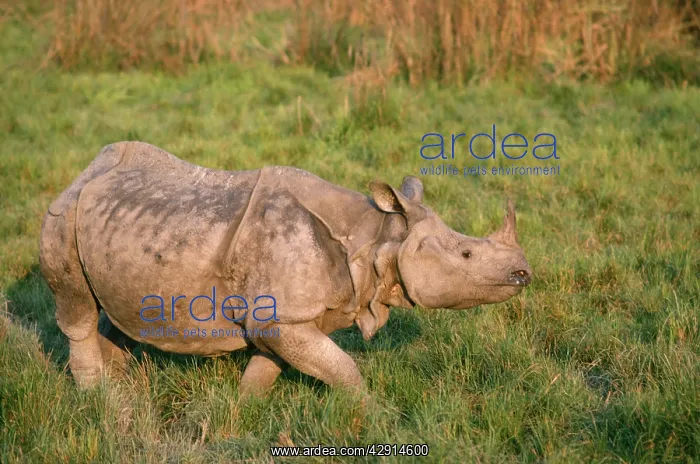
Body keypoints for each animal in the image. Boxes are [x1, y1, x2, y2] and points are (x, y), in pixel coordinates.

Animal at [39, 142, 532, 397]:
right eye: (465, 255)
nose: (524, 273)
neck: (375, 236)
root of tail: (86, 170)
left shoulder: (284, 315)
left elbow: (267, 368)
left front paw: (243, 412)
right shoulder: (282, 315)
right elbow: (344, 369)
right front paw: (368, 413)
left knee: (112, 306)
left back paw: (119, 376)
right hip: (63, 214)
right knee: (77, 307)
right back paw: (96, 398)